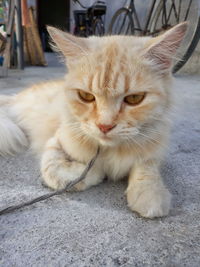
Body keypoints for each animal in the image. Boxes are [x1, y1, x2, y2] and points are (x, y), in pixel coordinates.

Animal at [0, 22, 188, 220]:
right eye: (86, 96)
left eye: (134, 98)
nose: (104, 126)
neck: (111, 150)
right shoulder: (55, 141)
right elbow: (57, 171)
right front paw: (96, 173)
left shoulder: (153, 148)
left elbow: (147, 168)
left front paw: (150, 193)